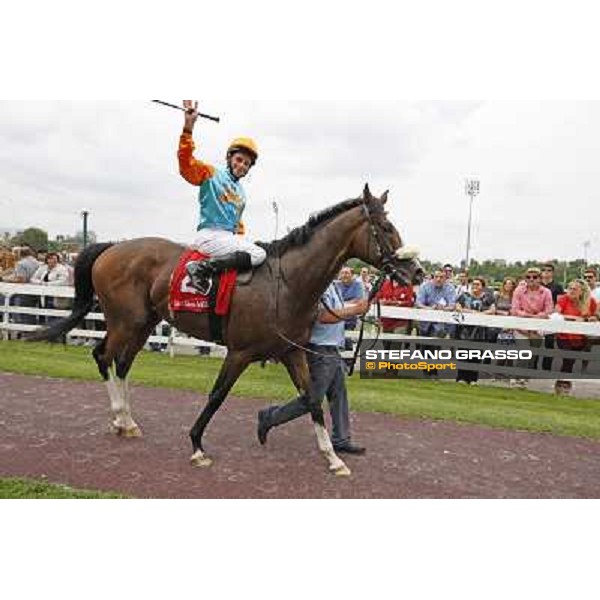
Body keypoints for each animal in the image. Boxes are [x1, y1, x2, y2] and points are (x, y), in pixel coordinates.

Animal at [32, 185, 422, 476]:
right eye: (386, 228)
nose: (417, 272)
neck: (286, 284)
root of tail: (112, 247)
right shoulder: (239, 353)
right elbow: (217, 396)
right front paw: (196, 445)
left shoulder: (292, 351)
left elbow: (312, 399)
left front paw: (333, 458)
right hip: (123, 321)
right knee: (102, 355)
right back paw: (119, 415)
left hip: (143, 324)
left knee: (123, 363)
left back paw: (127, 422)